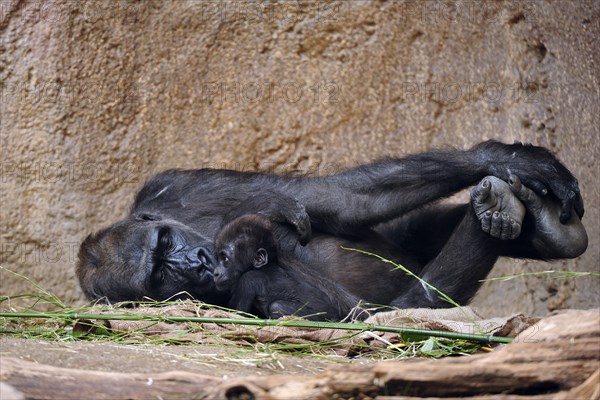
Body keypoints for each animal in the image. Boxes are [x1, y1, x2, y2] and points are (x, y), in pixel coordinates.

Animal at [77, 139, 588, 314]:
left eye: (166, 241)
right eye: (160, 274)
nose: (196, 262)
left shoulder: (178, 189)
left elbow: (338, 201)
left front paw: (508, 157)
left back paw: (540, 224)